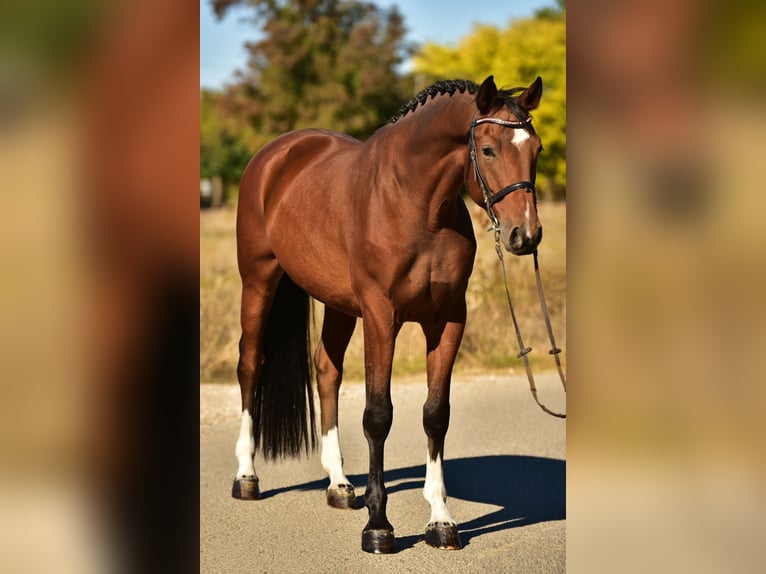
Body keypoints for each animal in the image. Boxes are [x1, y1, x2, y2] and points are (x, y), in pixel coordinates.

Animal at [231, 75, 545, 554]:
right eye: (489, 149)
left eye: (538, 150)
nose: (525, 235)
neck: (416, 205)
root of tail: (276, 153)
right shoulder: (381, 316)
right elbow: (378, 415)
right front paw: (378, 526)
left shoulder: (449, 320)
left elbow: (436, 414)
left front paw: (441, 520)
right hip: (259, 279)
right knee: (251, 363)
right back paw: (247, 476)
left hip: (338, 303)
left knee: (327, 370)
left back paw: (340, 485)